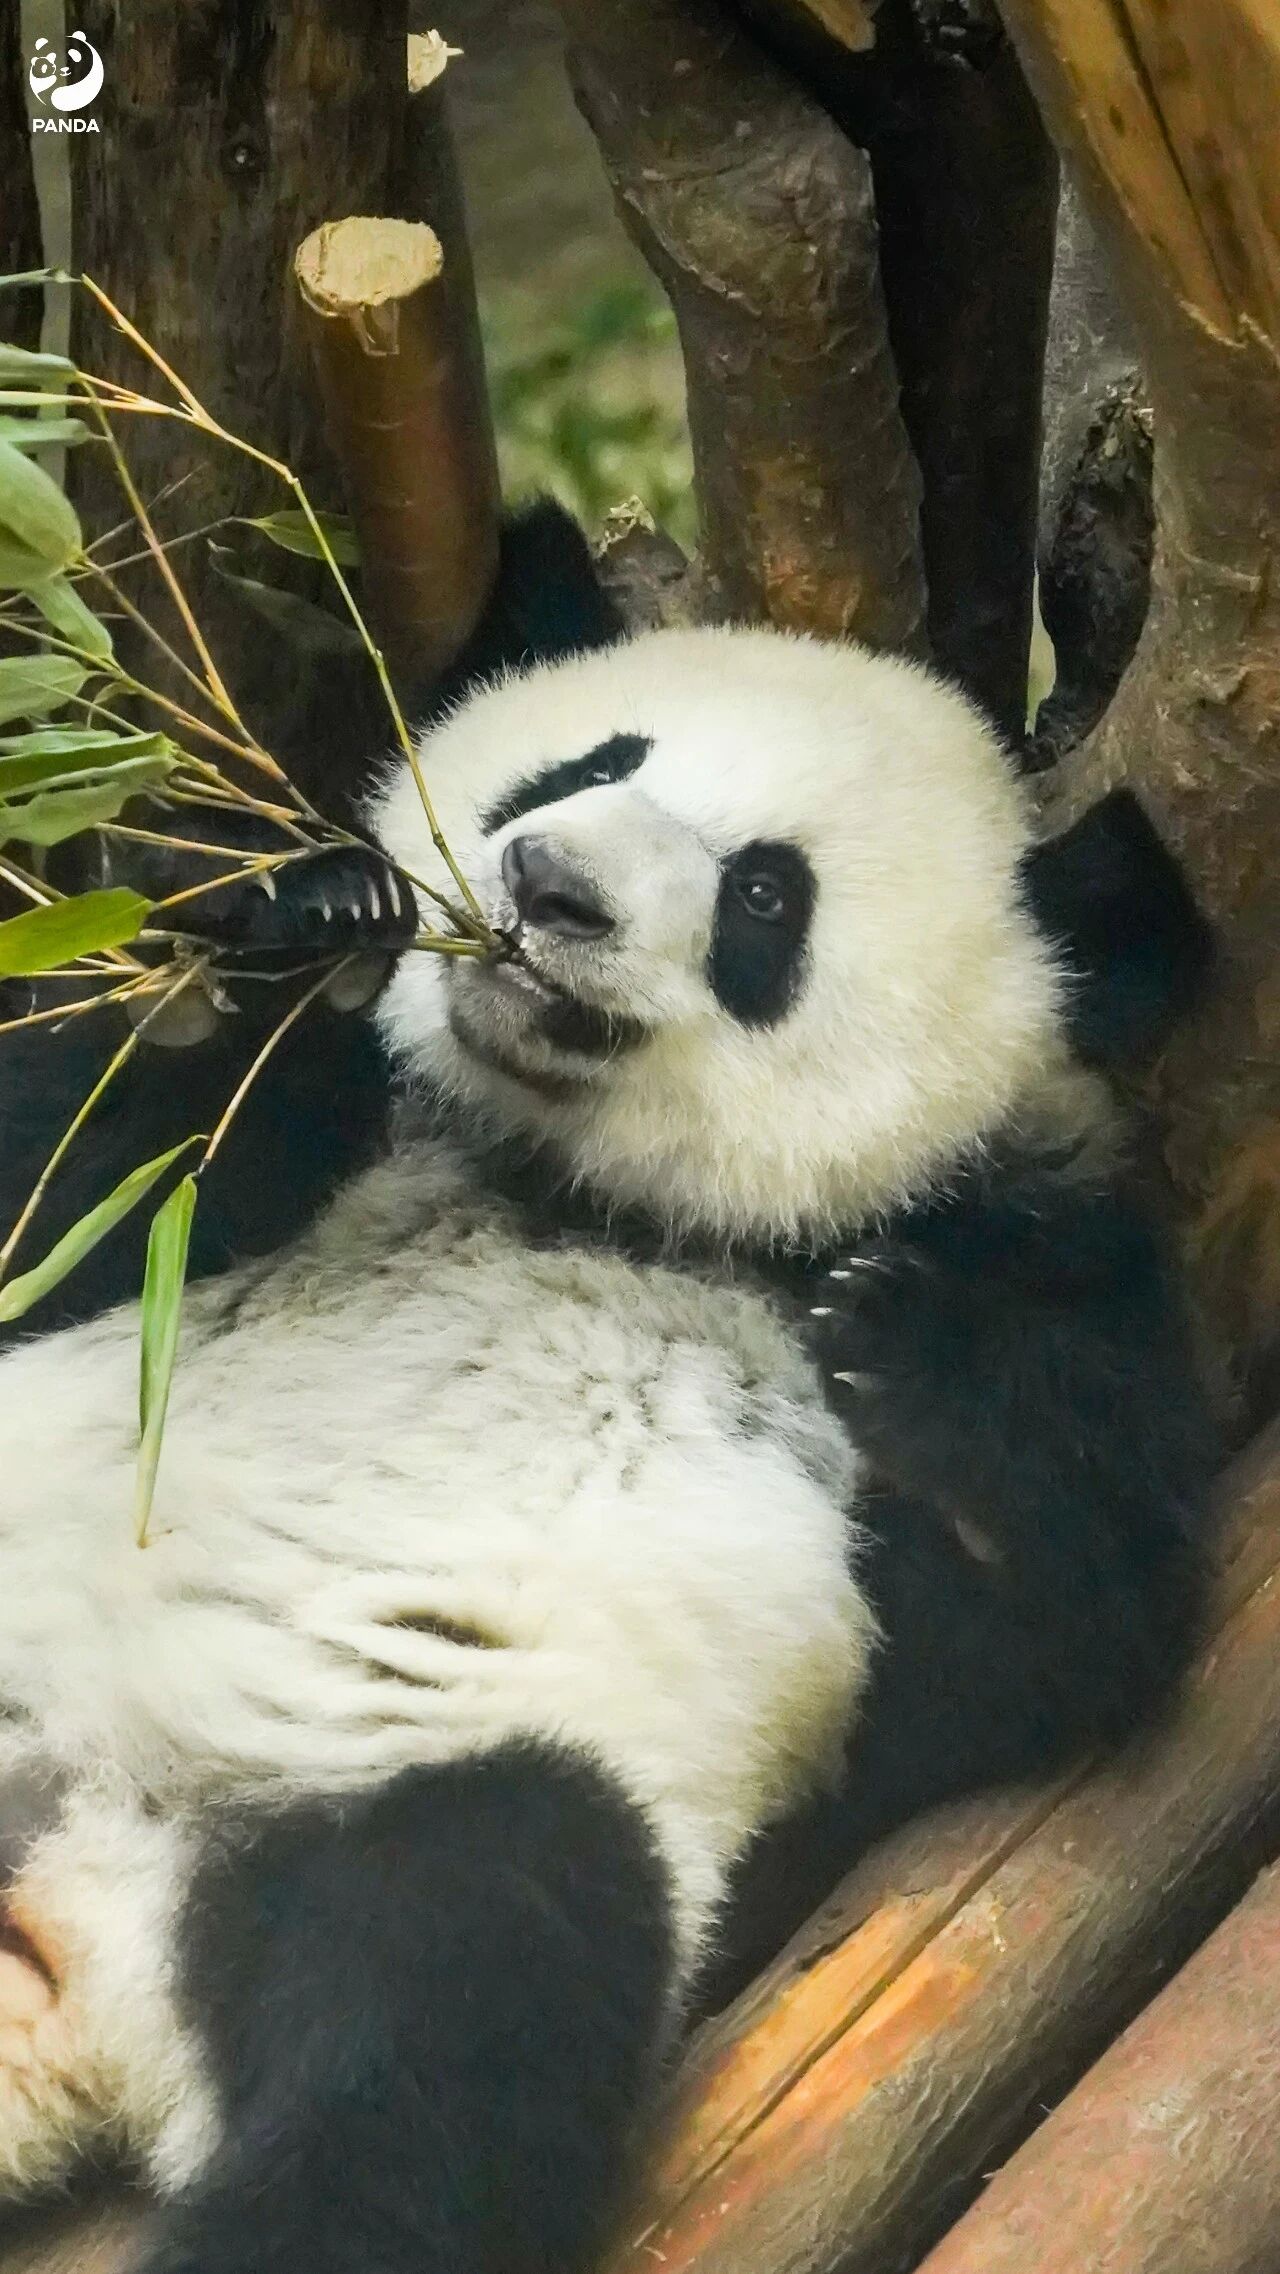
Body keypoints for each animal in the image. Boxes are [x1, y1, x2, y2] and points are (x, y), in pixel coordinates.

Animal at [0, 506, 1214, 2274]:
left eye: (765, 893)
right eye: (587, 762)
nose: (546, 883)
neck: (590, 1186)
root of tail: (59, 1926)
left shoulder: (1053, 1248)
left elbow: (1066, 1617)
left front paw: (911, 1350)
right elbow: (74, 1181)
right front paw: (308, 949)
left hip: (381, 1791)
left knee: (452, 2003)